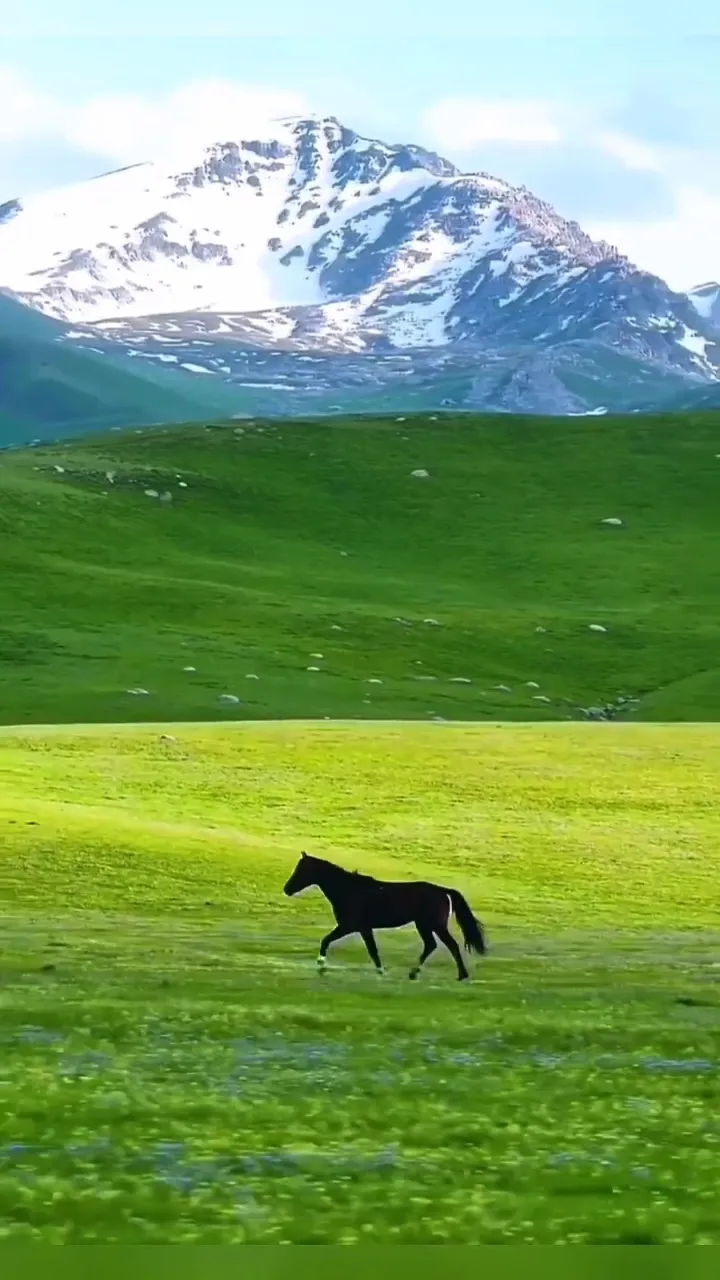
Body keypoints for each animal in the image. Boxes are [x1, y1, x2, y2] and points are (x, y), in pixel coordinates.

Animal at [283, 855, 484, 983]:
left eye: (302, 870)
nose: (287, 889)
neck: (349, 890)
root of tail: (443, 891)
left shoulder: (349, 925)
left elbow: (327, 940)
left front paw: (321, 963)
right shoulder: (364, 928)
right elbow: (373, 951)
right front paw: (381, 971)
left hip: (434, 925)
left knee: (451, 945)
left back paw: (461, 975)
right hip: (424, 925)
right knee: (431, 945)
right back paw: (414, 973)